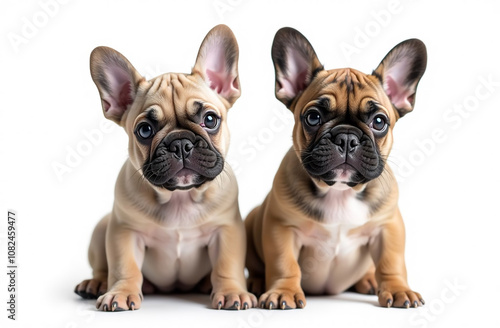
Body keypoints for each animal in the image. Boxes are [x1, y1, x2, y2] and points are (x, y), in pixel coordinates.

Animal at [75, 24, 256, 312]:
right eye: (144, 130)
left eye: (210, 119)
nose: (180, 143)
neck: (180, 197)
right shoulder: (124, 231)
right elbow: (124, 266)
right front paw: (120, 293)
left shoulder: (226, 230)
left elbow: (227, 264)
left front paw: (231, 292)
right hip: (102, 227)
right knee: (103, 267)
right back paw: (96, 283)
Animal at [245, 26, 426, 308]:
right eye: (313, 117)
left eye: (379, 121)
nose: (347, 137)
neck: (340, 192)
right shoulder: (281, 227)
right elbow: (284, 263)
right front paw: (283, 292)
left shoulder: (388, 226)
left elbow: (391, 261)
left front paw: (398, 290)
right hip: (253, 218)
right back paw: (254, 282)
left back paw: (369, 281)